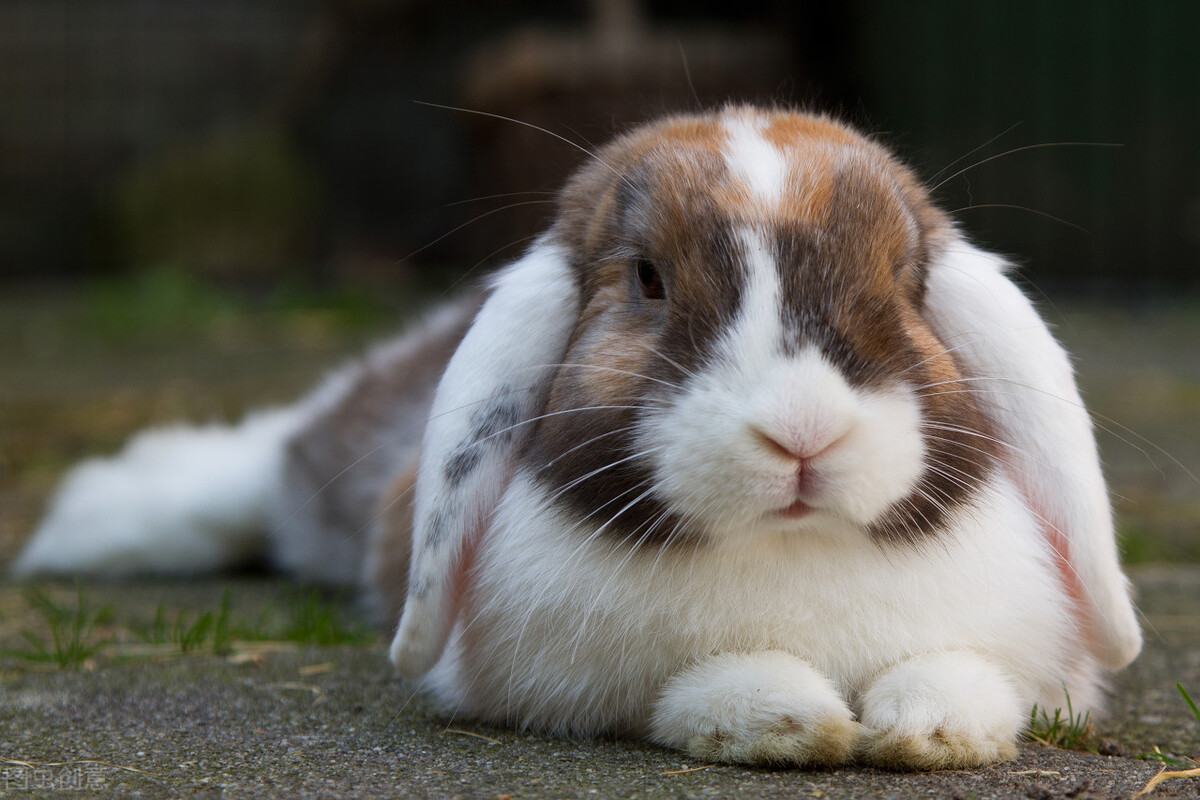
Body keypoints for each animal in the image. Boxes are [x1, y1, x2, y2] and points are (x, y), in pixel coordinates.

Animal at [16, 104, 1142, 767]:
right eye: (647, 278)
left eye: (900, 282)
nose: (801, 430)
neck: (790, 549)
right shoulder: (576, 682)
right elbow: (702, 690)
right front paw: (794, 719)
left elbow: (963, 675)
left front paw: (927, 727)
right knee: (274, 461)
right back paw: (108, 515)